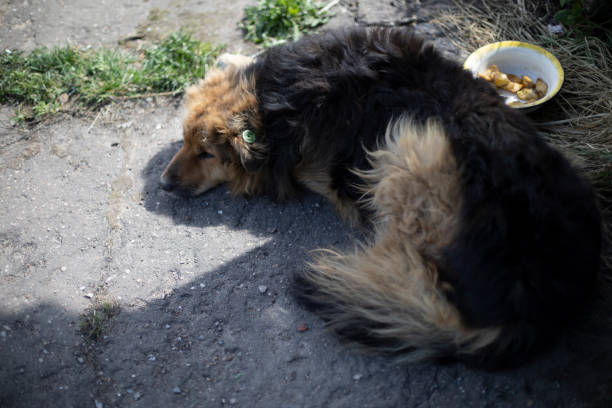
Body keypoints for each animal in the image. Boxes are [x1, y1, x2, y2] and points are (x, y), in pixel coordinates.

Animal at [159, 27, 604, 368]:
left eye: (206, 153)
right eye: (183, 140)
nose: (163, 184)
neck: (269, 105)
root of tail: (535, 308)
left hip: (410, 145)